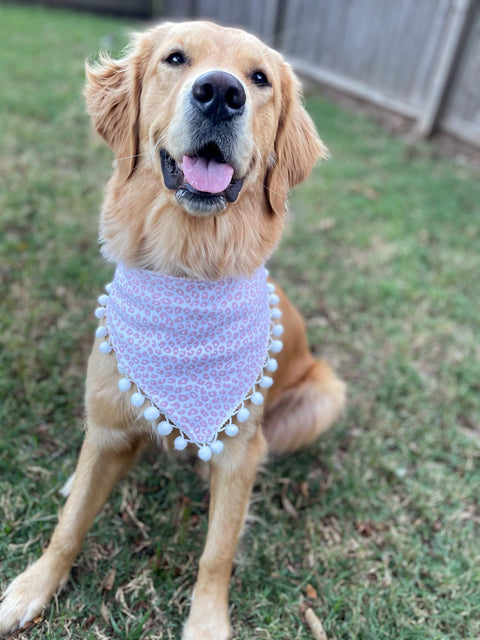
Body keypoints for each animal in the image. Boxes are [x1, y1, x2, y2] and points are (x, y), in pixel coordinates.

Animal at [0, 21, 344, 640]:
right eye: (176, 59)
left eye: (260, 78)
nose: (221, 93)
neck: (187, 267)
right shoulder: (107, 422)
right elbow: (69, 524)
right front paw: (34, 585)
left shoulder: (239, 453)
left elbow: (217, 553)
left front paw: (206, 621)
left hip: (323, 394)